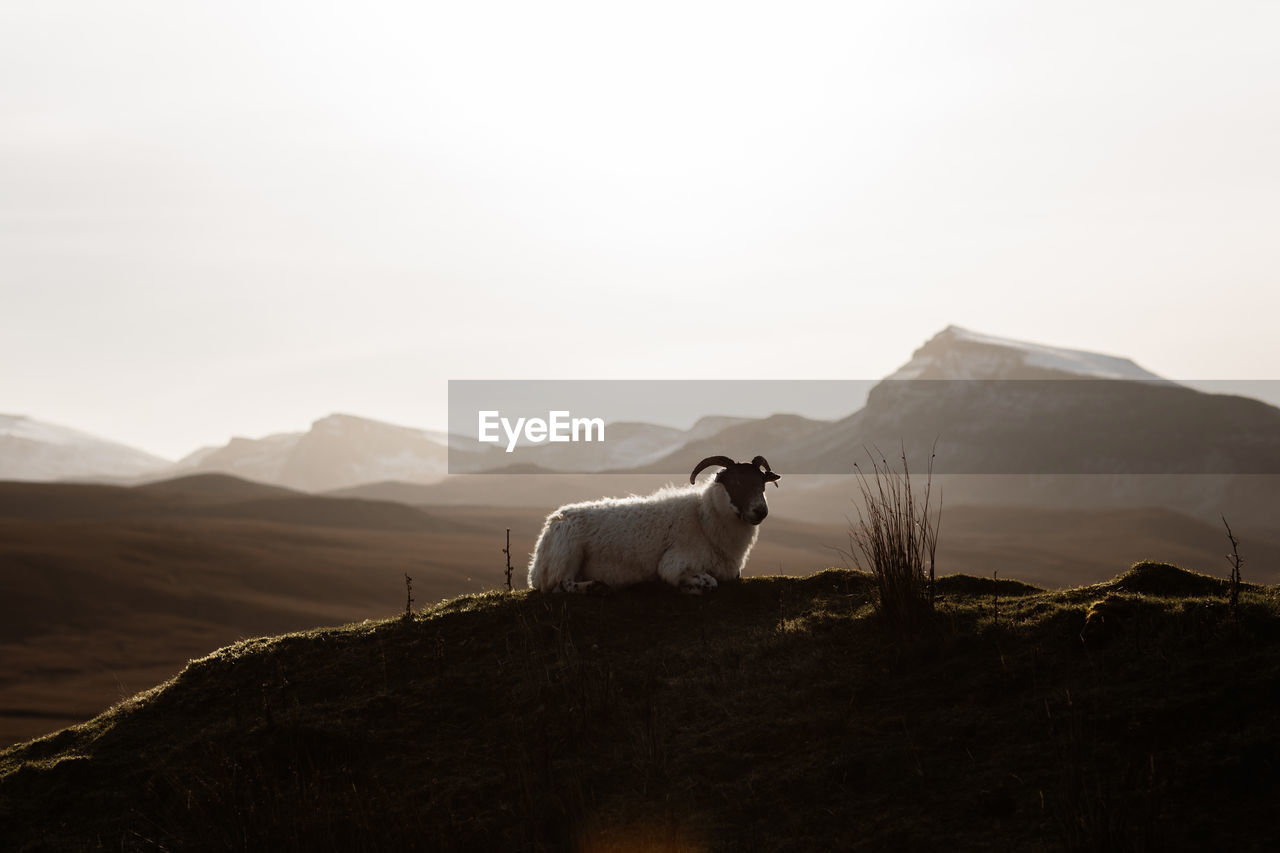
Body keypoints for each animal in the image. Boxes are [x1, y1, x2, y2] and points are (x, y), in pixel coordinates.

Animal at [522, 450, 778, 591]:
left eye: (762, 484)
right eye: (736, 483)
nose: (761, 511)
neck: (703, 518)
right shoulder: (674, 563)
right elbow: (707, 581)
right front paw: (692, 586)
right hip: (567, 554)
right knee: (560, 585)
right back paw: (594, 587)